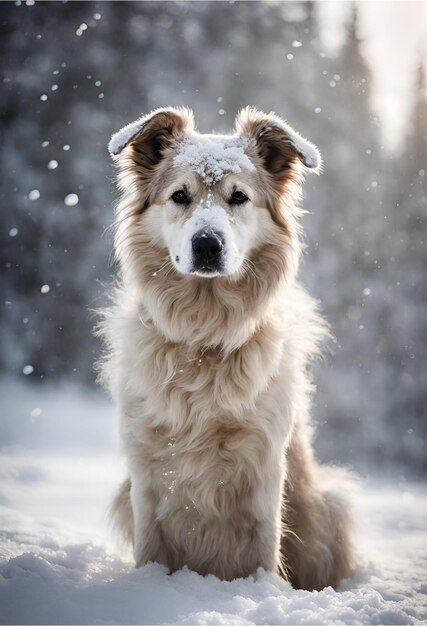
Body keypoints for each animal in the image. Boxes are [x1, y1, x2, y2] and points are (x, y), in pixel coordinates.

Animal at [98, 107, 356, 588]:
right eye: (180, 196)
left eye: (239, 197)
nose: (207, 243)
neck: (204, 337)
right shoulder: (146, 475)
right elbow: (151, 548)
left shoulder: (262, 473)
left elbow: (261, 553)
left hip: (328, 506)